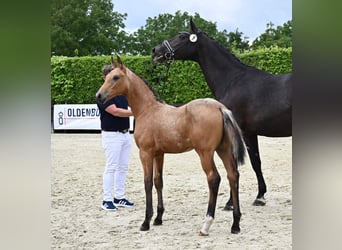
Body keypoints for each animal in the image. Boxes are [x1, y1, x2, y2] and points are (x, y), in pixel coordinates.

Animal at [96, 56, 246, 236]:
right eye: (106, 77)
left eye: (116, 77)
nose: (99, 96)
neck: (148, 110)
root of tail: (219, 107)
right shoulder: (159, 154)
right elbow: (158, 181)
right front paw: (158, 218)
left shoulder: (145, 153)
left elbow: (147, 182)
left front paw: (146, 221)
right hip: (223, 150)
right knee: (233, 176)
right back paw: (235, 224)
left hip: (205, 153)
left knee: (214, 178)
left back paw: (206, 225)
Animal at [152, 18, 292, 209]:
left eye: (181, 37)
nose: (156, 51)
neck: (233, 80)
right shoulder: (249, 133)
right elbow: (255, 162)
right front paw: (259, 195)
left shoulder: (242, 132)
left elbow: (241, 163)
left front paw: (235, 202)